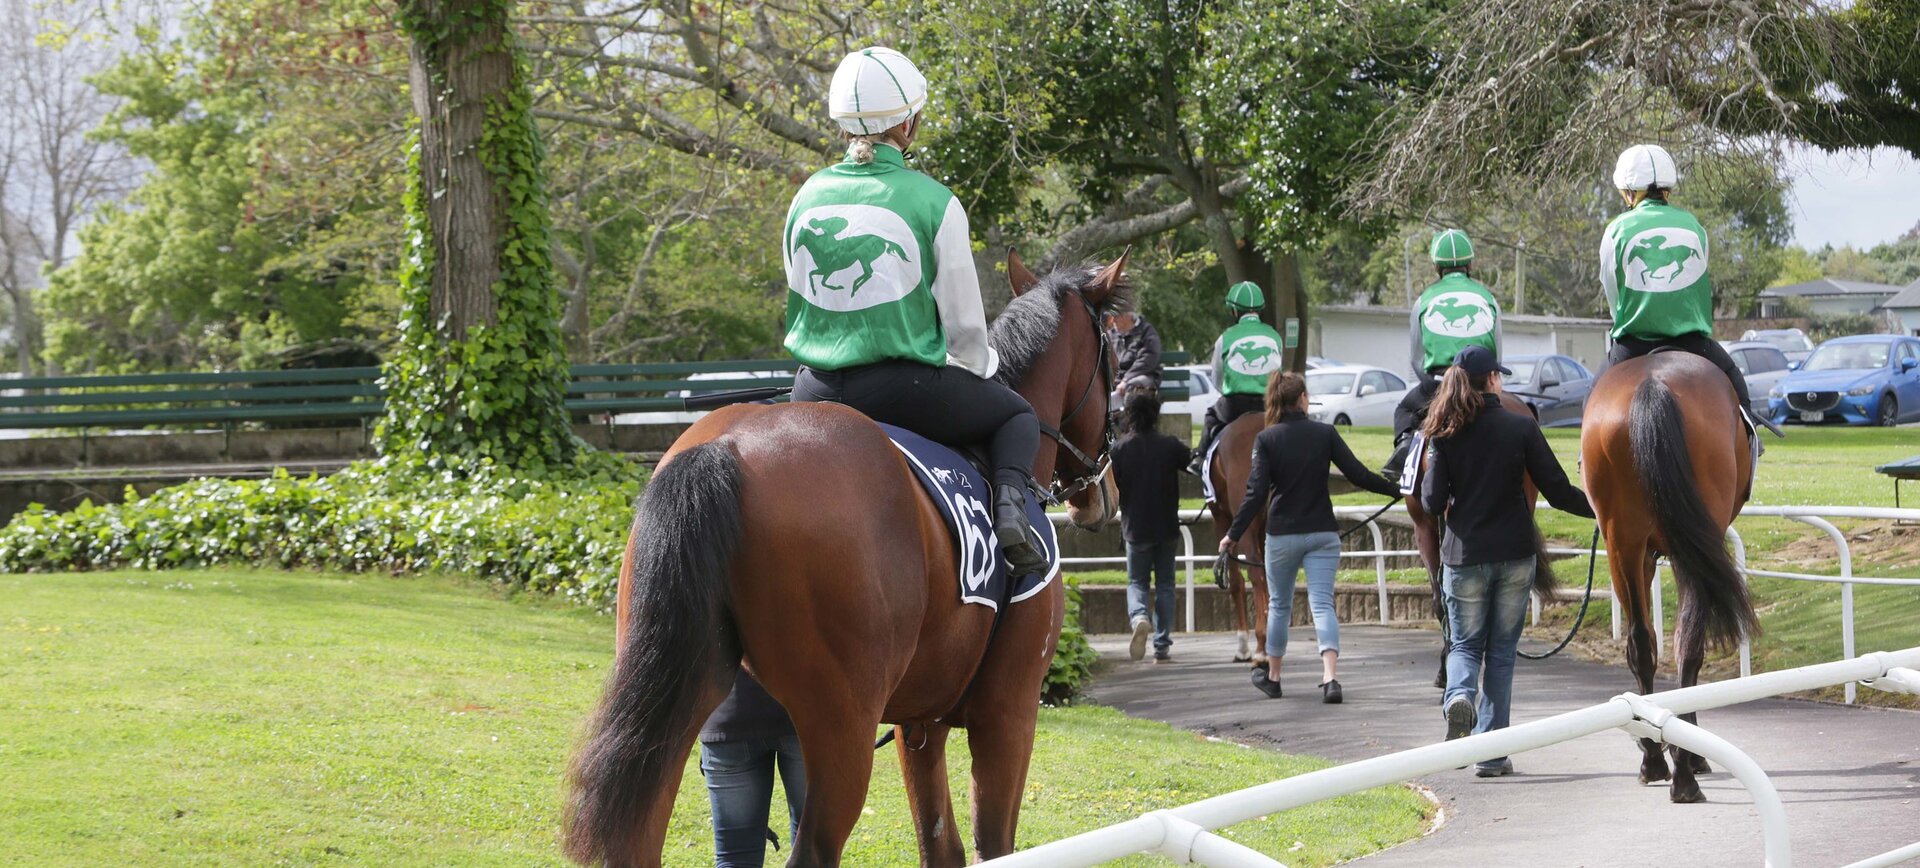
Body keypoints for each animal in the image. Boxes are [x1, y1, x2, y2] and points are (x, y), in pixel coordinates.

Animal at [563, 250, 1128, 867]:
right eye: (1115, 359)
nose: (1104, 493)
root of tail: (726, 447)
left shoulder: (919, 722)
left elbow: (941, 846)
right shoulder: (1009, 711)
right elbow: (993, 844)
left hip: (680, 697)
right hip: (843, 726)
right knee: (812, 847)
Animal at [1580, 350, 1757, 804]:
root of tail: (1652, 384)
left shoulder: (1645, 552)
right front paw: (1689, 755)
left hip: (1623, 542)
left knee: (1642, 643)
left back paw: (1660, 763)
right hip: (1687, 542)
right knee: (1688, 642)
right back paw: (1682, 772)